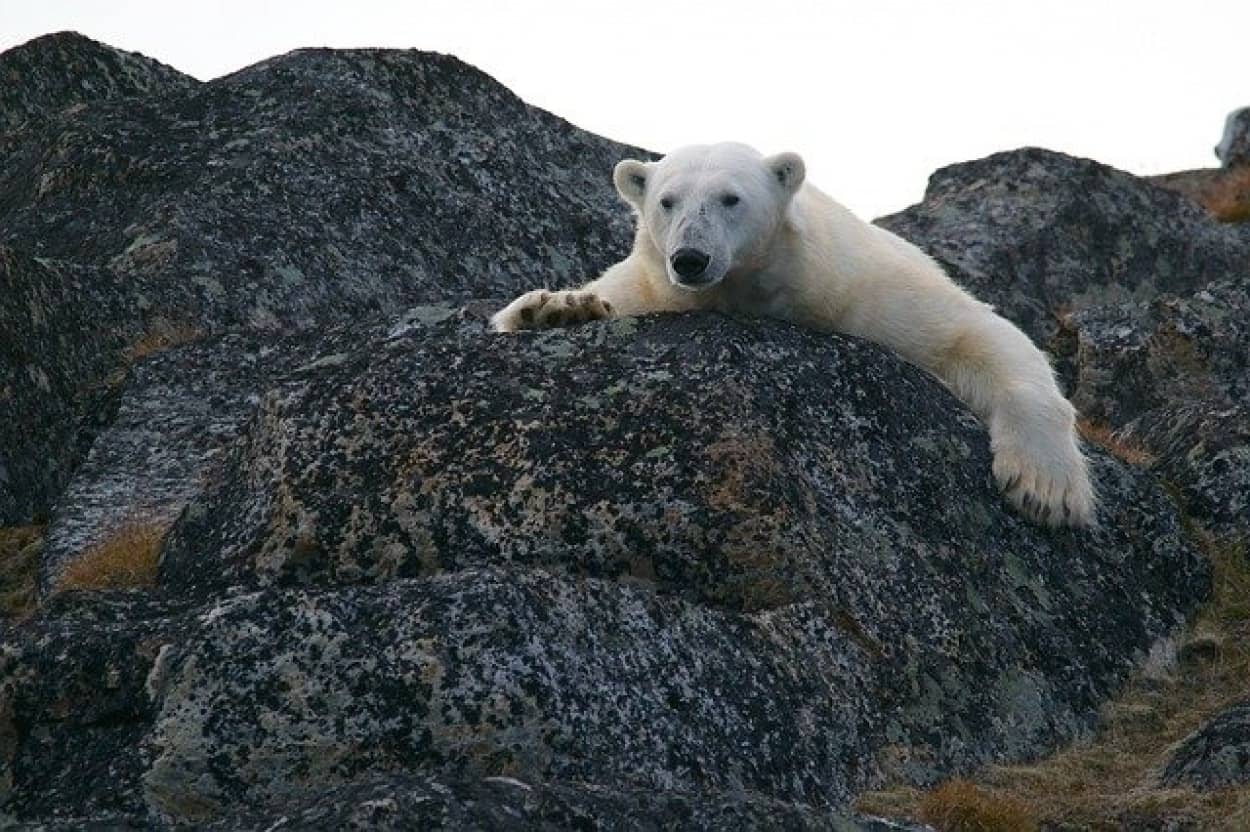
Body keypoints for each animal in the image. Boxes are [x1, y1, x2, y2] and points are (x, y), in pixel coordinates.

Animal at [490, 139, 1095, 522]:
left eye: (731, 198)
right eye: (666, 201)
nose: (689, 258)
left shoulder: (862, 289)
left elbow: (977, 333)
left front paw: (1045, 489)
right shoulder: (652, 285)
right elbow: (601, 296)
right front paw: (555, 308)